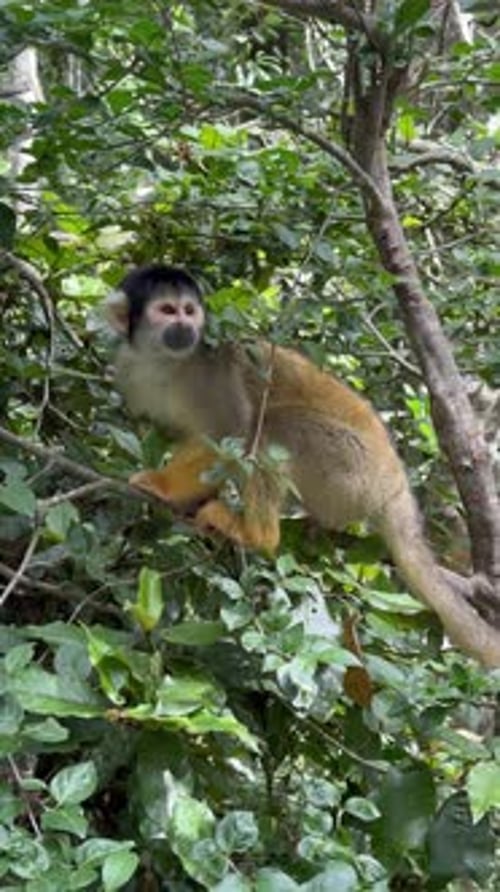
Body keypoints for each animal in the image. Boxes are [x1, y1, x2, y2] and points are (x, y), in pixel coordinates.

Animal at [106, 263, 500, 668]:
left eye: (189, 311)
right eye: (167, 310)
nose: (185, 327)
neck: (166, 363)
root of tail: (397, 489)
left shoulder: (214, 371)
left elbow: (233, 433)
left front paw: (166, 487)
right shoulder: (130, 373)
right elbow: (188, 438)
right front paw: (185, 496)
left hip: (354, 468)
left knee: (274, 425)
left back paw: (257, 534)